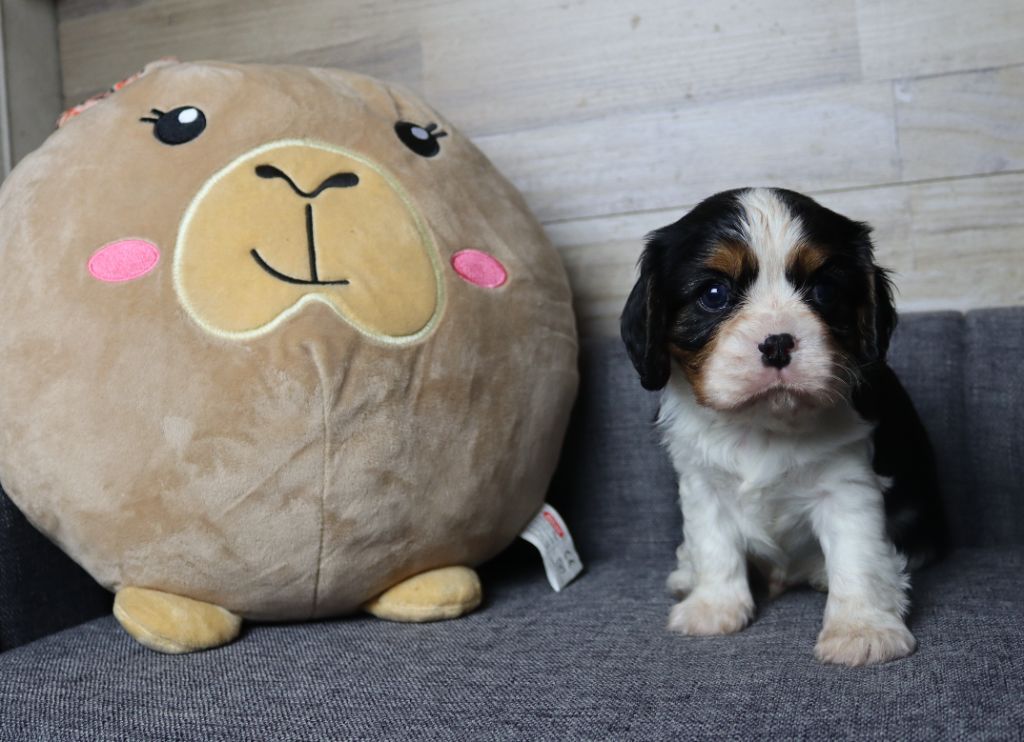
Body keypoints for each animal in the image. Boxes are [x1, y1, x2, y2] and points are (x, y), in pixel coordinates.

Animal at [620, 187, 946, 666]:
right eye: (714, 294)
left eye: (824, 290)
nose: (777, 342)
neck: (764, 422)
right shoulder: (702, 484)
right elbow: (714, 543)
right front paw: (713, 607)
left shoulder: (848, 485)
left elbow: (858, 555)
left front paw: (862, 629)